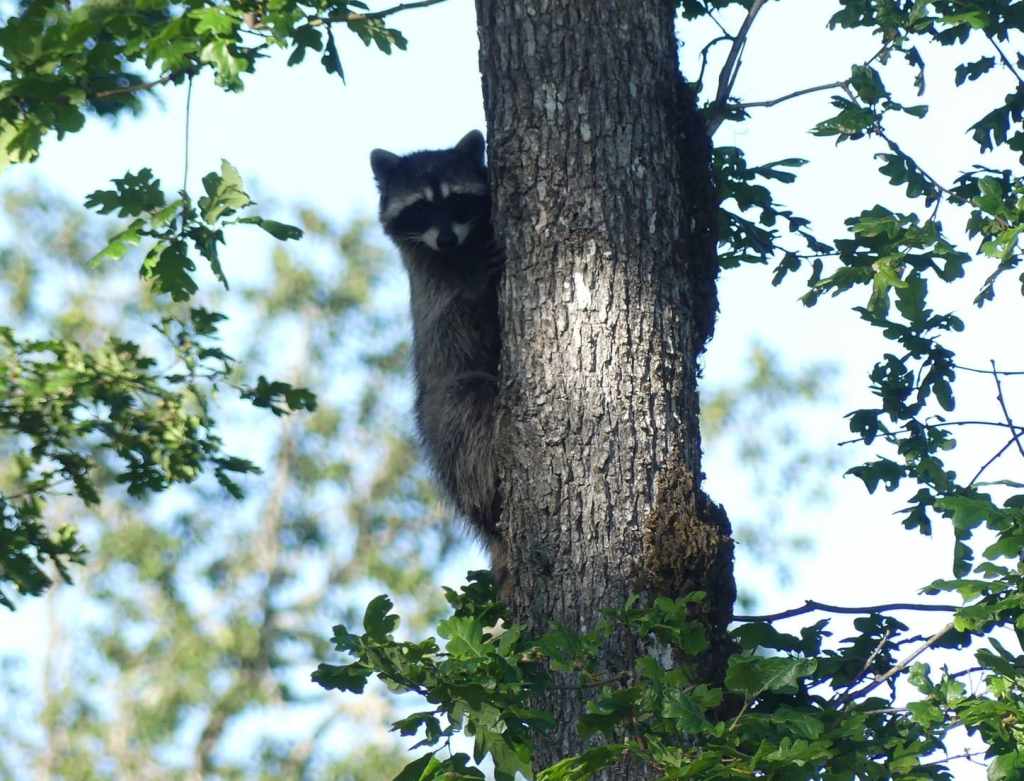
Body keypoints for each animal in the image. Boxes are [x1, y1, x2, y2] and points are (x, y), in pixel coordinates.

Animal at [370, 130, 505, 588]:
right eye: (422, 207)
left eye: (455, 200)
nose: (445, 239)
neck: (459, 250)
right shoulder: (434, 293)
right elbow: (457, 321)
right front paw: (482, 282)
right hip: (444, 416)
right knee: (471, 403)